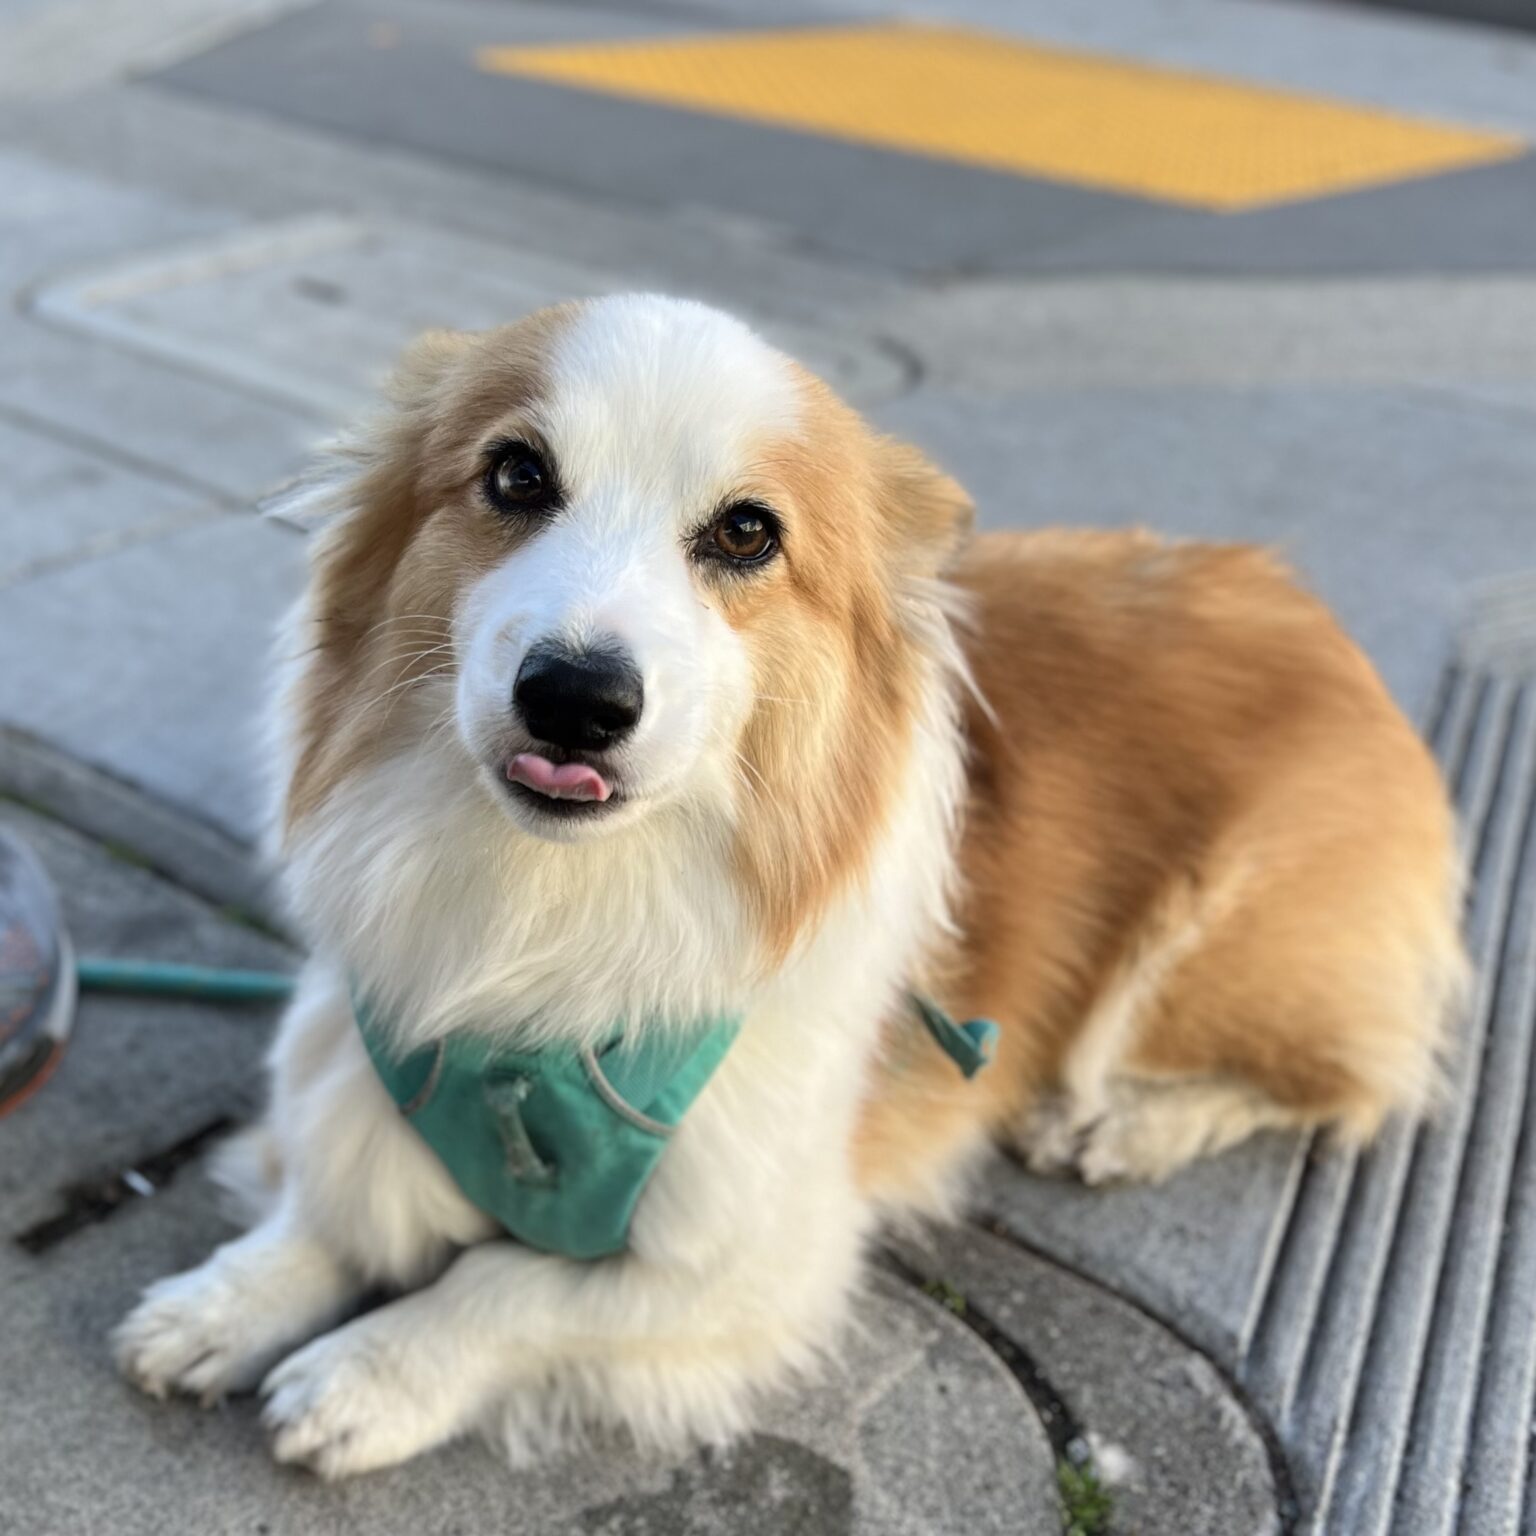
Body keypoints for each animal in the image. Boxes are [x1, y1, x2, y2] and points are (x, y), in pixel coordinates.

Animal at [111, 296, 1462, 1474]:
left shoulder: (759, 1254)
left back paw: (1124, 1125)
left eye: (747, 532)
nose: (576, 700)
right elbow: (330, 1207)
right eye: (515, 477)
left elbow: (505, 1287)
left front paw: (366, 1375)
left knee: (1354, 1080)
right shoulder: (358, 1064)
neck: (551, 916)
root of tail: (1311, 612)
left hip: (1207, 952)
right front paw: (221, 1305)